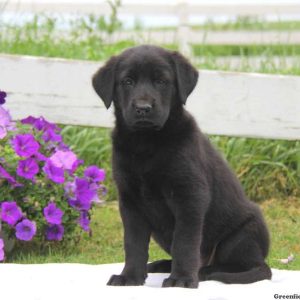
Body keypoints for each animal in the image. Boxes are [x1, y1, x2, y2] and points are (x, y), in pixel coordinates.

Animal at [92, 45, 272, 288]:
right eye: (127, 81)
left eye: (161, 81)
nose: (143, 108)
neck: (146, 143)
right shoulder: (130, 200)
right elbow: (134, 243)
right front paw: (130, 276)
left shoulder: (189, 195)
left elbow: (185, 242)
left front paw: (182, 279)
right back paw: (161, 265)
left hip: (242, 235)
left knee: (250, 266)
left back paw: (205, 271)